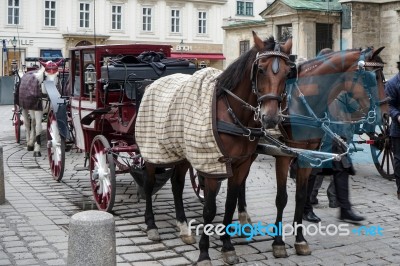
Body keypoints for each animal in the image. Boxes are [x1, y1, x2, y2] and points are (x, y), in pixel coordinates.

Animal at [135, 32, 294, 264]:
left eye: (287, 73)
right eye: (261, 69)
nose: (271, 118)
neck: (231, 112)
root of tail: (152, 83)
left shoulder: (240, 165)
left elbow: (229, 204)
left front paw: (227, 245)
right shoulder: (211, 165)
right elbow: (209, 210)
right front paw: (204, 253)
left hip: (182, 152)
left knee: (176, 184)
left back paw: (183, 226)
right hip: (152, 150)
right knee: (148, 183)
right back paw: (151, 225)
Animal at [238, 46, 388, 258]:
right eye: (372, 77)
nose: (385, 114)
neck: (301, 104)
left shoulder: (306, 156)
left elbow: (301, 196)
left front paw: (300, 239)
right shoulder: (283, 155)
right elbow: (281, 198)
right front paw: (278, 243)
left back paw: (243, 216)